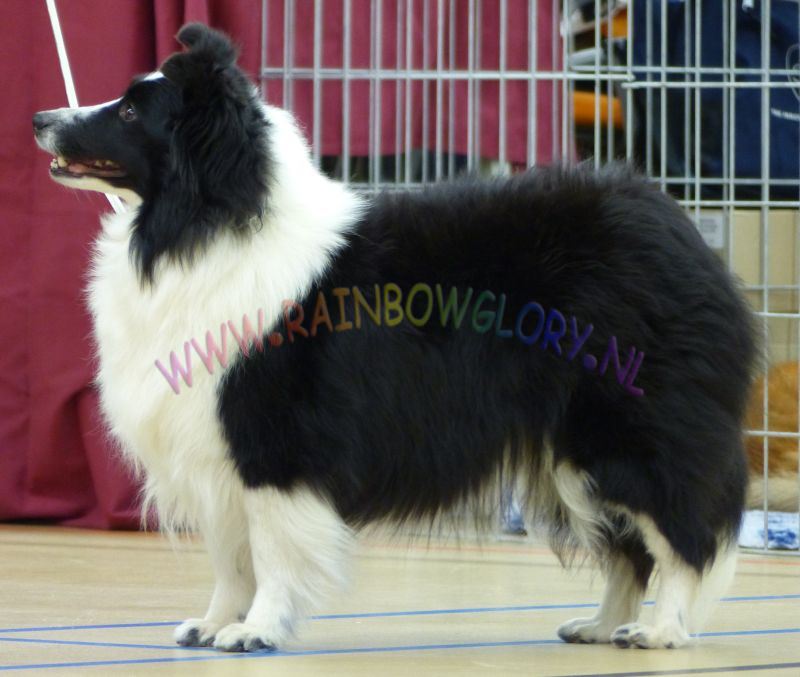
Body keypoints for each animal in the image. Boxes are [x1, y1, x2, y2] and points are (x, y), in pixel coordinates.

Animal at [34, 23, 757, 652]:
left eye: (133, 110)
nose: (40, 118)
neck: (208, 219)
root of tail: (676, 224)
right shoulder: (214, 448)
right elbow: (230, 556)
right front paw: (214, 624)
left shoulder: (271, 443)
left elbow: (269, 550)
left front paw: (254, 631)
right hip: (572, 455)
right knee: (628, 548)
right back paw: (603, 626)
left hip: (627, 433)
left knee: (683, 536)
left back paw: (660, 632)